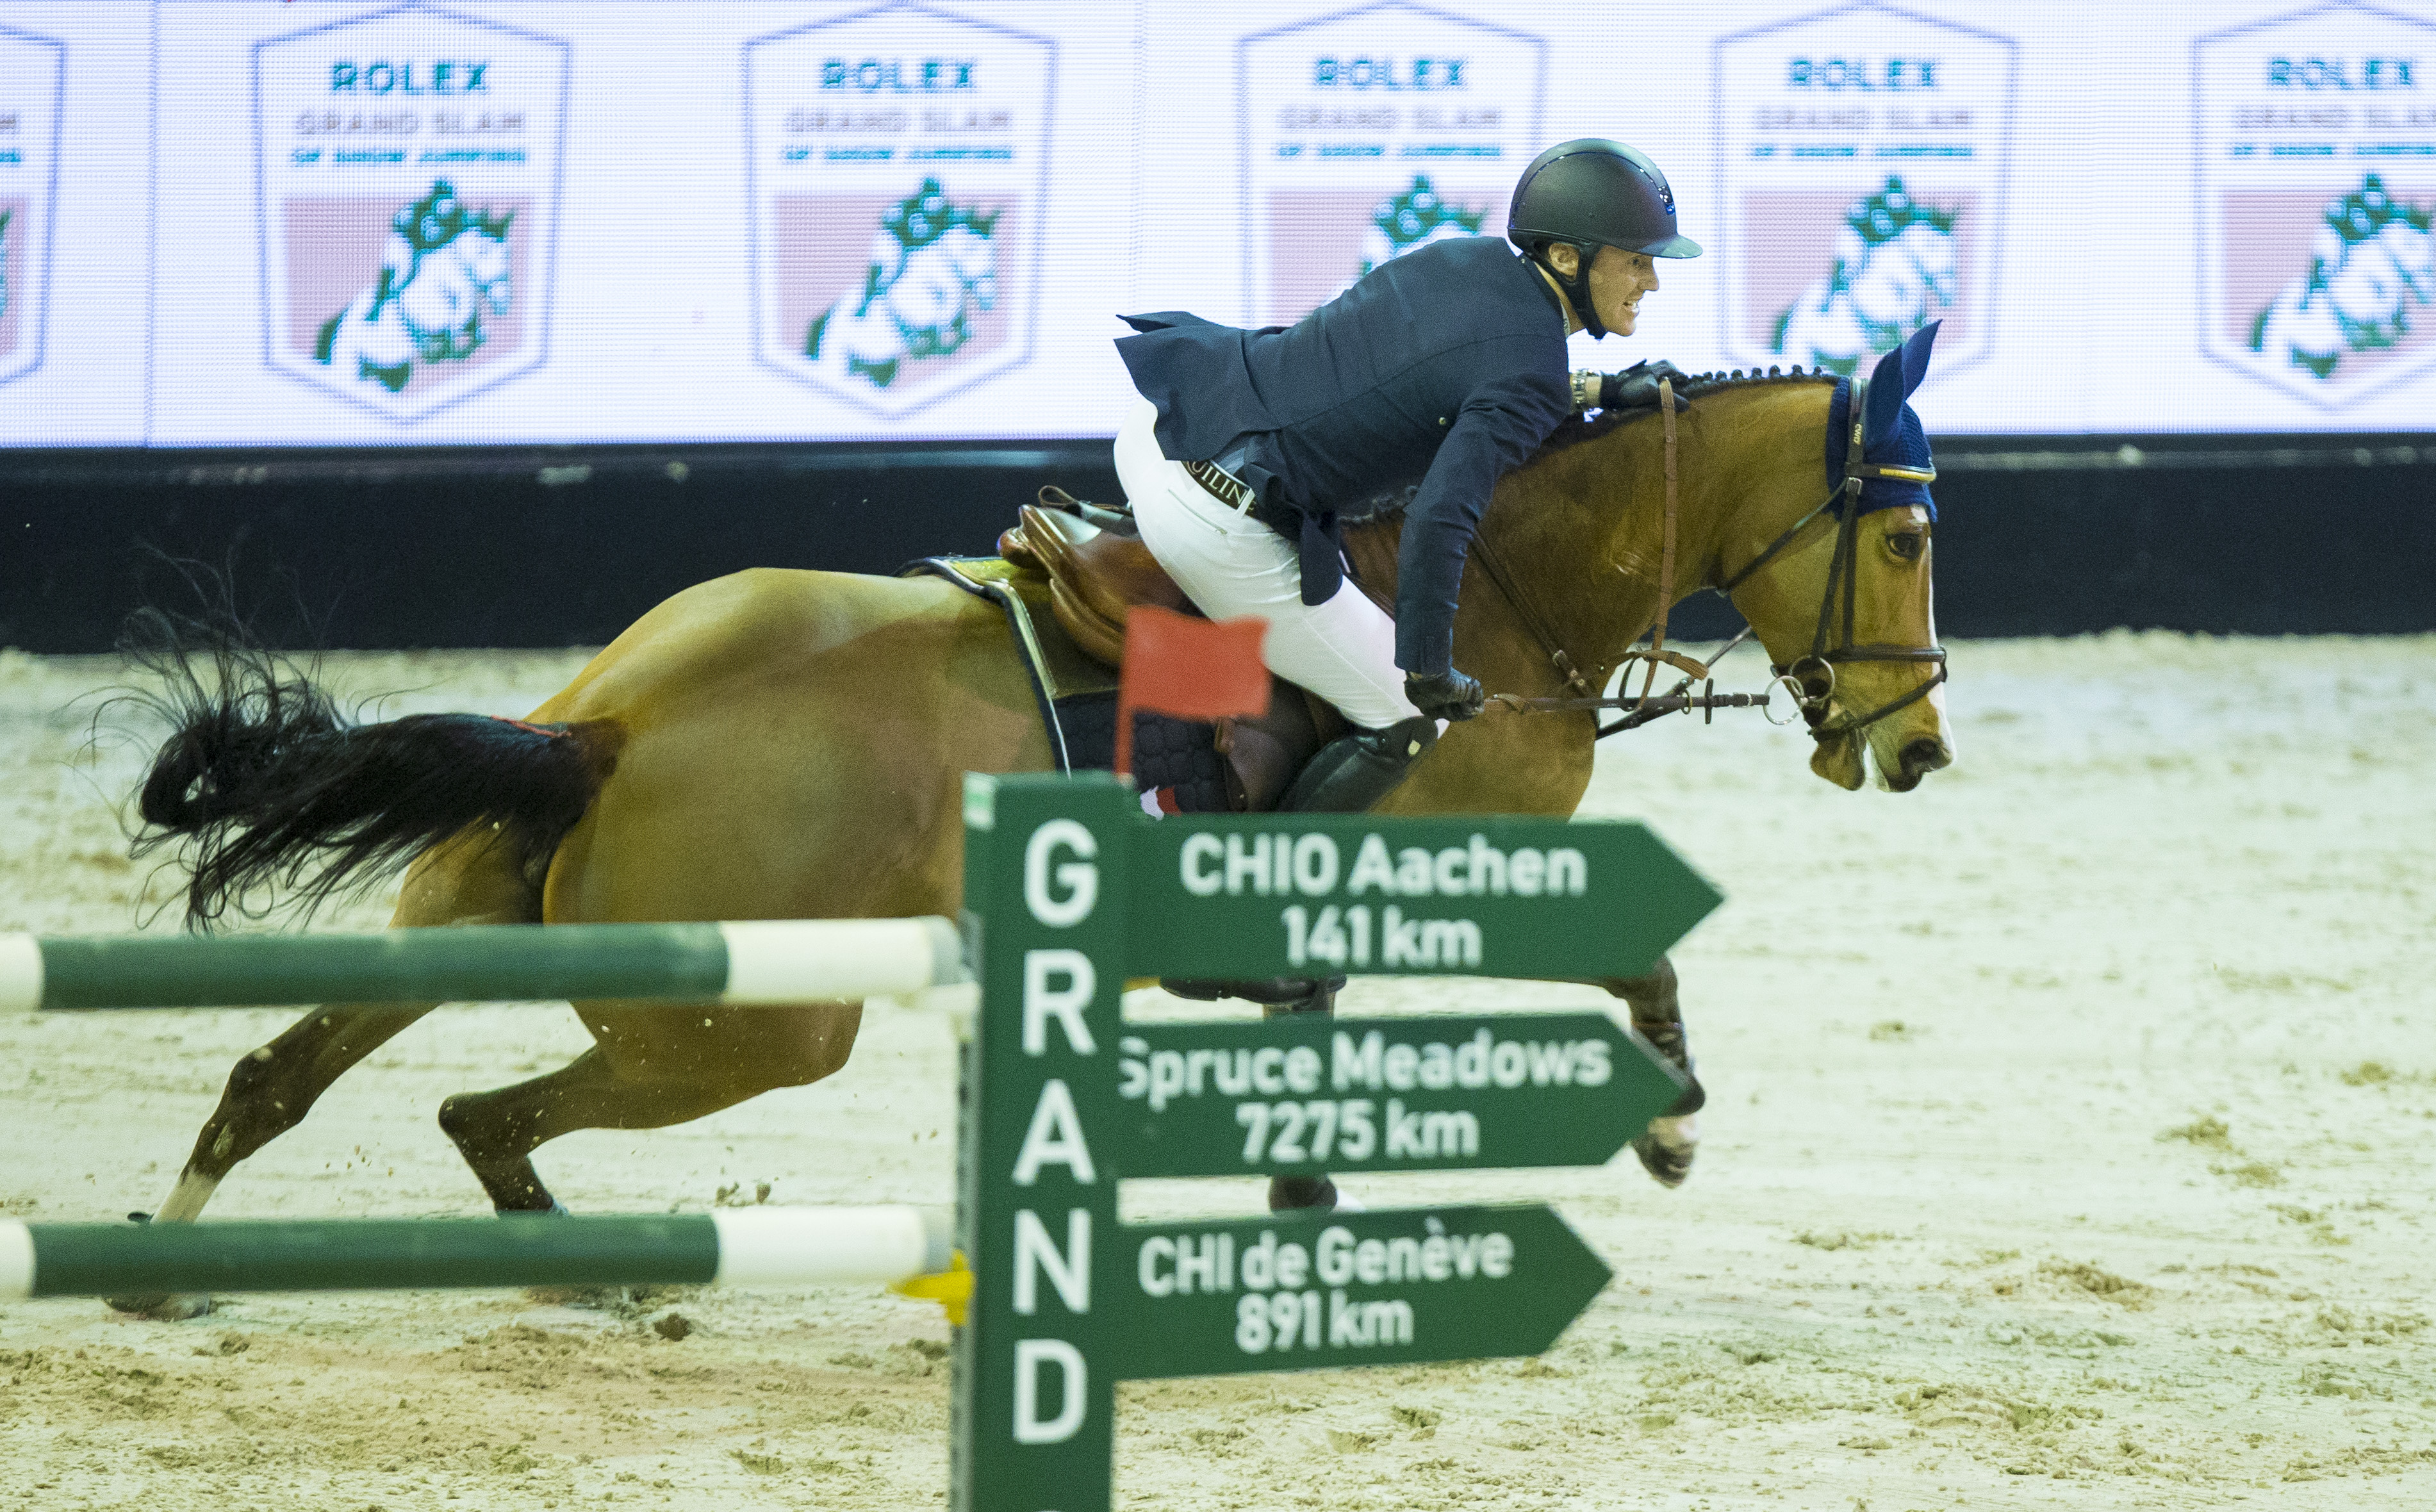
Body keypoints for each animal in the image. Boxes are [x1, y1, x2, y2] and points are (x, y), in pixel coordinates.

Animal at [108, 337, 1954, 1318]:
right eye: (1905, 543)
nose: (1920, 744)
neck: (1499, 589)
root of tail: (615, 721)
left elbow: (1308, 1025)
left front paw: (1300, 1196)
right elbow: (1626, 964)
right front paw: (1665, 1120)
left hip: (482, 917)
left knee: (286, 1073)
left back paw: (169, 1259)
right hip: (757, 1026)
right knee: (481, 1113)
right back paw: (578, 1260)